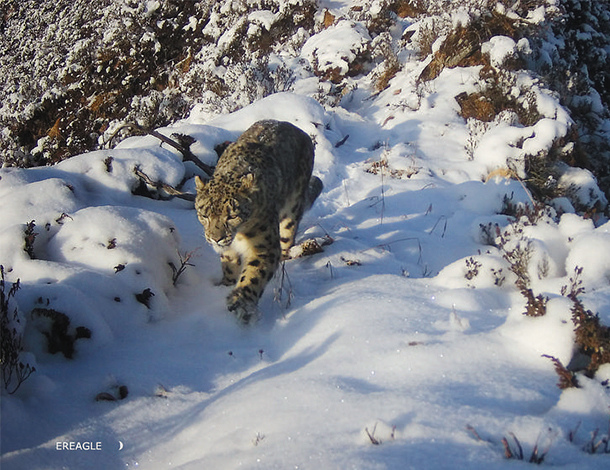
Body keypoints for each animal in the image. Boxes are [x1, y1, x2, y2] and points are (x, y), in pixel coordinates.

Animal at [195, 119, 324, 324]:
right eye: (204, 214)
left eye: (232, 215)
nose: (216, 238)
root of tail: (298, 129)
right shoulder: (229, 252)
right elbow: (229, 266)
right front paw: (226, 284)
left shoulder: (264, 246)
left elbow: (254, 275)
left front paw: (240, 302)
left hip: (292, 209)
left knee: (287, 237)